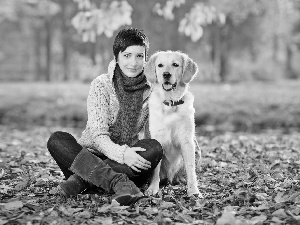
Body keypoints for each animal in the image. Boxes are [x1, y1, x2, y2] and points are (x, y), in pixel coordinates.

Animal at [145, 51, 203, 197]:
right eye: (160, 65)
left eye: (175, 64)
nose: (166, 74)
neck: (170, 104)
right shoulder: (157, 140)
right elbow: (156, 170)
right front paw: (153, 188)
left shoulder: (187, 141)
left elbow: (191, 169)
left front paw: (194, 191)